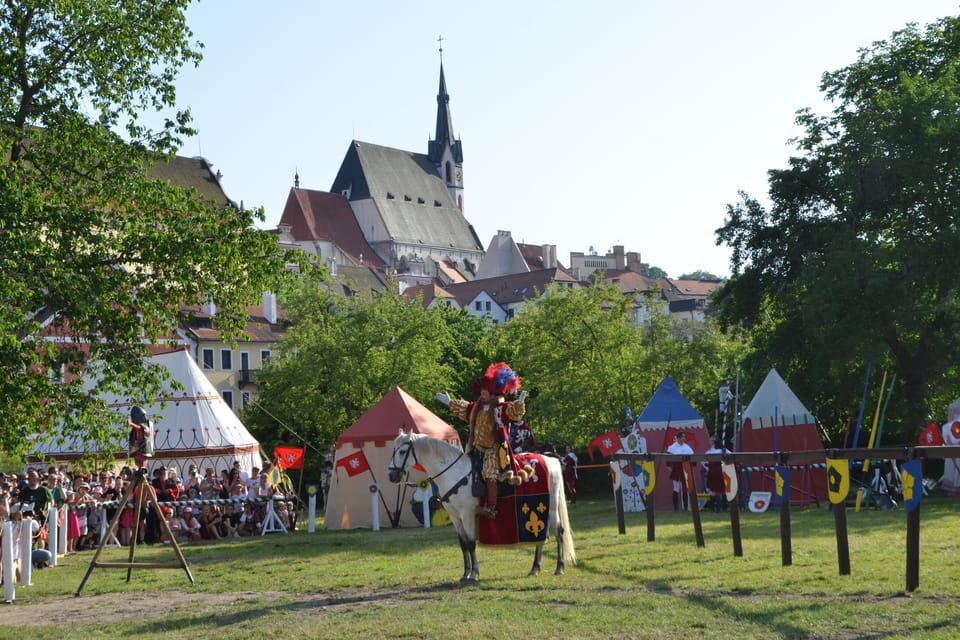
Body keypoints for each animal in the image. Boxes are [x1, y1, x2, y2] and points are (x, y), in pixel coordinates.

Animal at [386, 432, 572, 584]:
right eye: (393, 450)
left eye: (402, 452)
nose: (391, 475)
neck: (455, 473)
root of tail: (550, 459)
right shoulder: (455, 517)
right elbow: (463, 544)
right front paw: (465, 573)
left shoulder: (467, 515)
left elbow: (470, 543)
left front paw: (474, 574)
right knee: (541, 535)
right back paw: (535, 568)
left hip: (550, 506)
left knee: (559, 531)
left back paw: (559, 567)